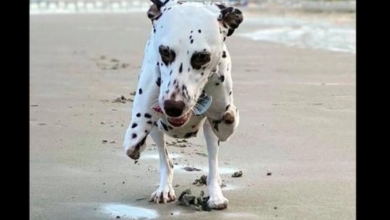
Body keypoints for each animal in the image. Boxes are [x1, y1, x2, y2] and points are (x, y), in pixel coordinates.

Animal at [122, 0, 244, 210]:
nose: (173, 106)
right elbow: (136, 132)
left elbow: (226, 120)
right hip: (158, 131)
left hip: (209, 136)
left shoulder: (218, 116)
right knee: (166, 161)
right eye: (164, 51)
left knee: (212, 166)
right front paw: (135, 142)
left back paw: (216, 195)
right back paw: (164, 188)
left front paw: (229, 117)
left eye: (202, 57)